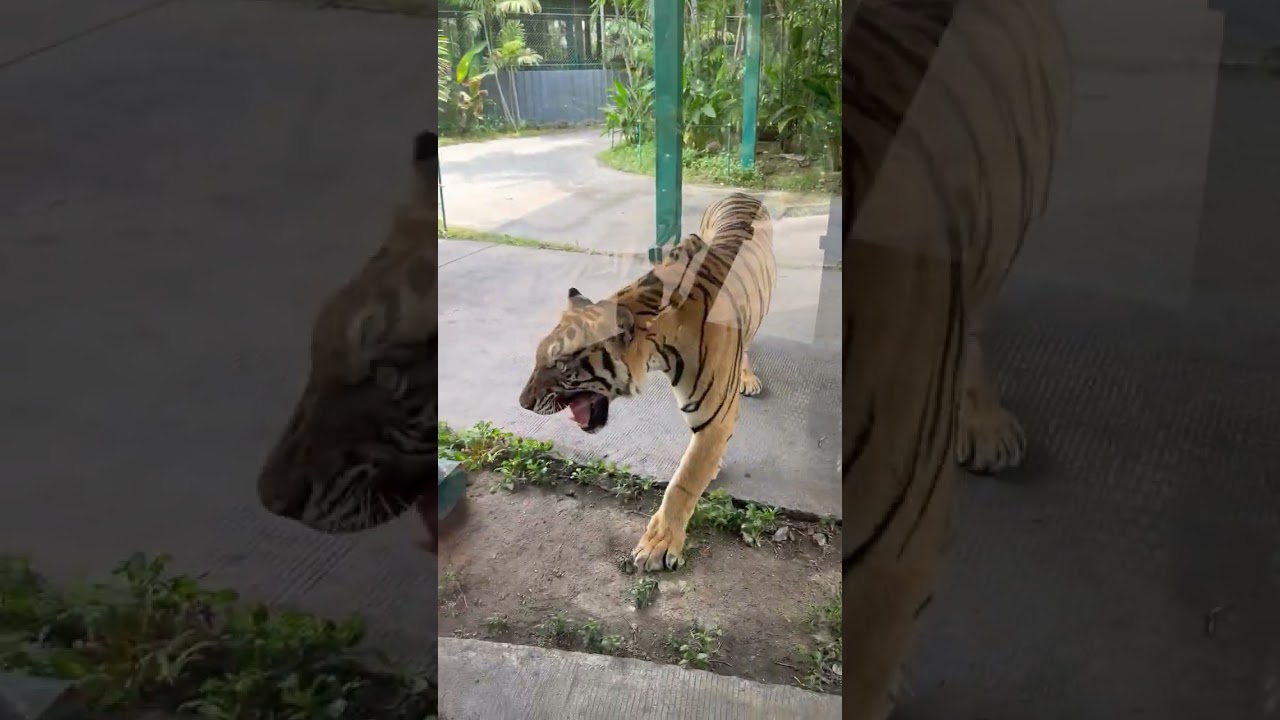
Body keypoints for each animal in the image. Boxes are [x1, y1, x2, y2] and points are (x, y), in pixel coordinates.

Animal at [518, 192, 776, 572]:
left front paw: (659, 544)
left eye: (562, 365)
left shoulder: (713, 418)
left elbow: (683, 481)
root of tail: (743, 193)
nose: (522, 403)